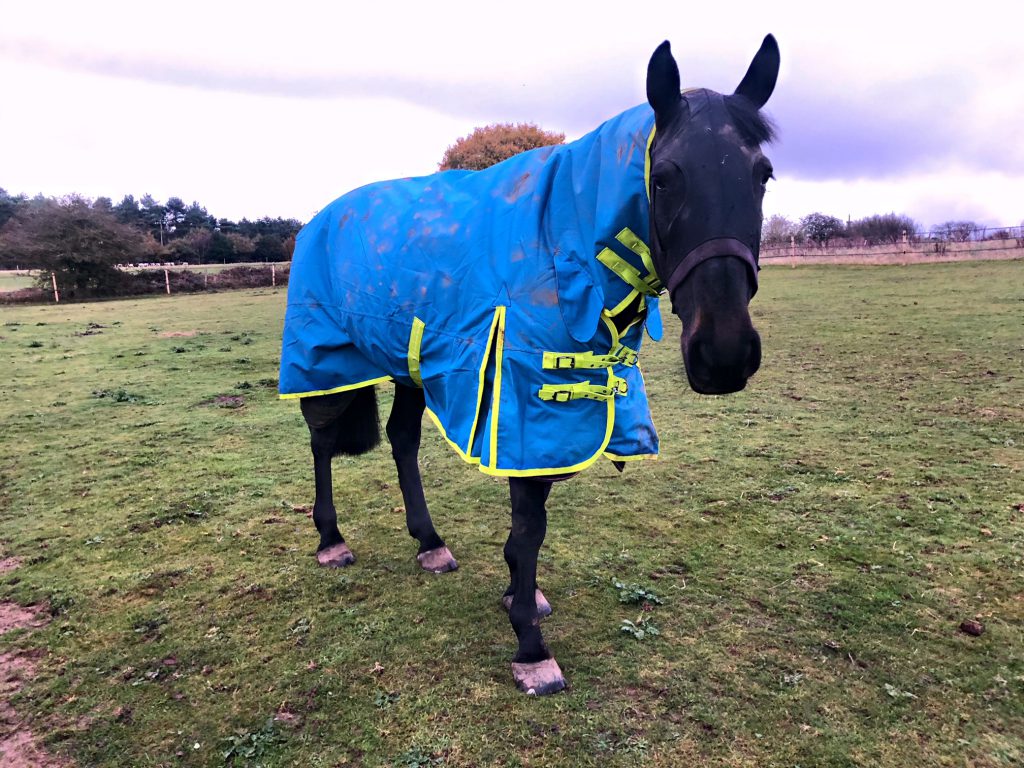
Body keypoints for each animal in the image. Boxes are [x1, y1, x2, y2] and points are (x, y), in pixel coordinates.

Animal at [278, 34, 774, 696]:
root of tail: (317, 221)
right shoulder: (522, 396)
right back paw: (331, 539)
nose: (724, 354)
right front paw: (530, 645)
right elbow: (529, 520)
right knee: (322, 439)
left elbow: (531, 513)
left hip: (411, 362)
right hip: (326, 360)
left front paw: (521, 593)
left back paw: (429, 543)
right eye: (664, 178)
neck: (562, 240)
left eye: (763, 174)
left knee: (401, 439)